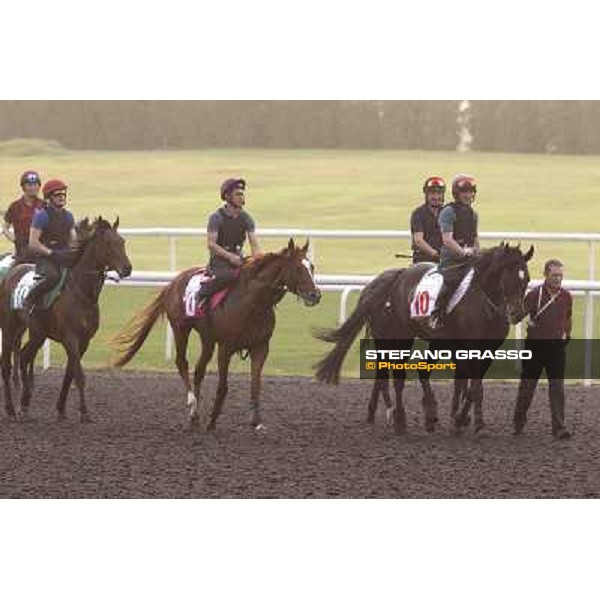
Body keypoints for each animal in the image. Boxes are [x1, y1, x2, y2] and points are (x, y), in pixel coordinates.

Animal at [0, 218, 132, 420]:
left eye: (122, 241)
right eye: (109, 243)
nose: (127, 268)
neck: (81, 294)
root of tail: (12, 271)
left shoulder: (84, 341)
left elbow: (70, 374)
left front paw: (61, 408)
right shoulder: (71, 338)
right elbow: (79, 375)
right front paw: (84, 412)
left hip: (37, 333)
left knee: (23, 356)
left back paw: (25, 403)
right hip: (10, 328)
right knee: (7, 365)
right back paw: (10, 408)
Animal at [110, 239, 322, 432]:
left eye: (311, 266)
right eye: (298, 268)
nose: (315, 295)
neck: (253, 303)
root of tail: (173, 283)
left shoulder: (260, 346)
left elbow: (256, 384)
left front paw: (256, 421)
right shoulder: (225, 347)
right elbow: (223, 386)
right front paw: (212, 421)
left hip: (207, 339)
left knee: (199, 370)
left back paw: (195, 415)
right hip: (181, 329)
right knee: (182, 362)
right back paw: (192, 405)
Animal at [316, 241, 532, 434]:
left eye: (527, 279)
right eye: (509, 278)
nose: (517, 313)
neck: (485, 301)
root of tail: (398, 276)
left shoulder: (488, 348)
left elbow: (472, 387)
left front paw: (464, 419)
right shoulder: (470, 346)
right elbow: (474, 385)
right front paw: (471, 422)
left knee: (413, 371)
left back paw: (419, 414)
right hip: (397, 337)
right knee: (397, 376)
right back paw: (399, 420)